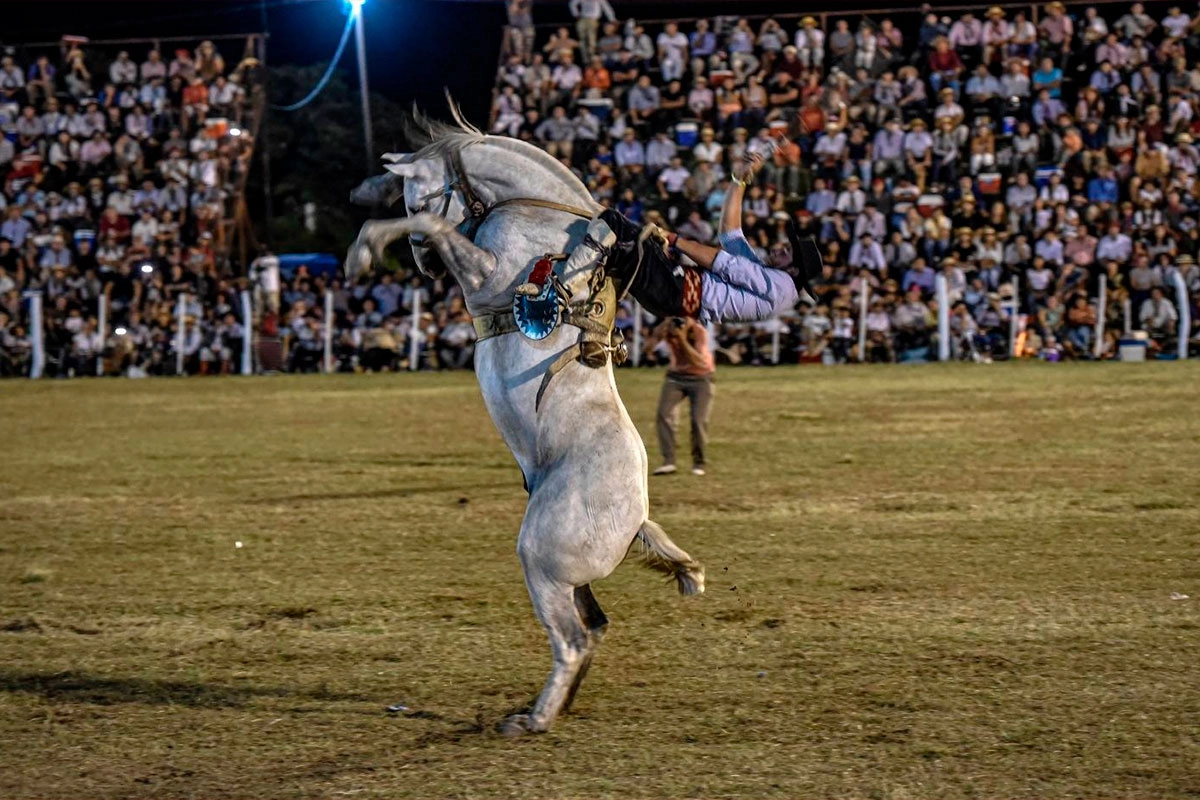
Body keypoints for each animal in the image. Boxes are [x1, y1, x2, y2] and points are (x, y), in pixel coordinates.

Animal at [343, 109, 700, 734]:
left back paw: (532, 719)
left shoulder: (487, 275)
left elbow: (439, 230)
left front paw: (363, 251)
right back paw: (549, 707)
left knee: (574, 638)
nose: (421, 262)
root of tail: (637, 521)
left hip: (541, 559)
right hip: (567, 575)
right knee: (593, 628)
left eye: (418, 198)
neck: (542, 218)